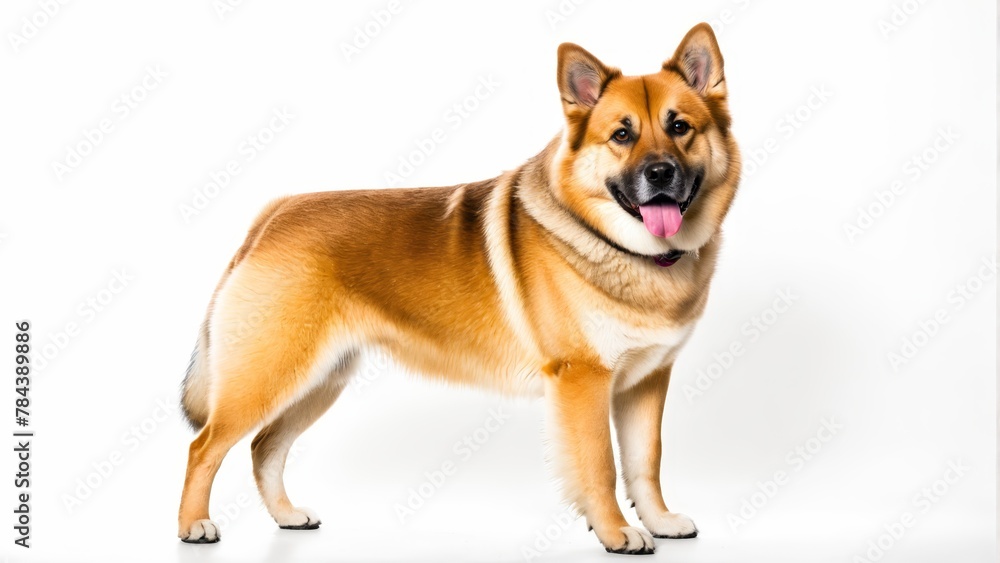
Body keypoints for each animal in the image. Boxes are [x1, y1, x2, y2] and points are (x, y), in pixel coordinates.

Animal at [180, 23, 740, 556]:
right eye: (622, 134)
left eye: (680, 127)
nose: (660, 173)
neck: (626, 248)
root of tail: (273, 214)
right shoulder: (583, 381)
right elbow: (599, 465)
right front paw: (616, 532)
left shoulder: (646, 382)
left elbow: (646, 461)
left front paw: (658, 521)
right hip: (269, 376)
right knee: (204, 448)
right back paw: (193, 526)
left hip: (319, 380)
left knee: (264, 447)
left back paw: (287, 516)